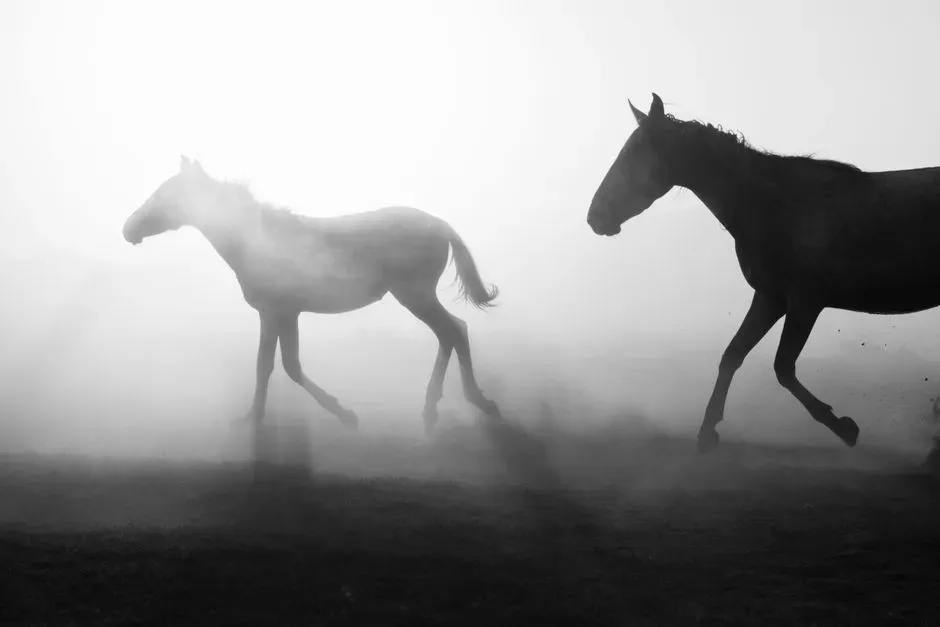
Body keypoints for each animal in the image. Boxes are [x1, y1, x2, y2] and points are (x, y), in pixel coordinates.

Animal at [122, 156, 500, 434]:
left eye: (168, 194)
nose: (128, 229)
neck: (257, 238)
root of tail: (441, 225)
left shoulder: (274, 311)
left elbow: (274, 365)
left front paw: (259, 417)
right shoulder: (284, 313)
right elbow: (282, 365)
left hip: (414, 294)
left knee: (454, 331)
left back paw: (477, 402)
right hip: (416, 296)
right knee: (450, 333)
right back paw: (434, 407)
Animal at [588, 93, 940, 459]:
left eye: (632, 156)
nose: (594, 217)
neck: (773, 204)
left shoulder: (804, 303)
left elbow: (782, 367)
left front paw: (843, 426)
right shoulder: (770, 298)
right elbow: (732, 355)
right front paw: (707, 432)